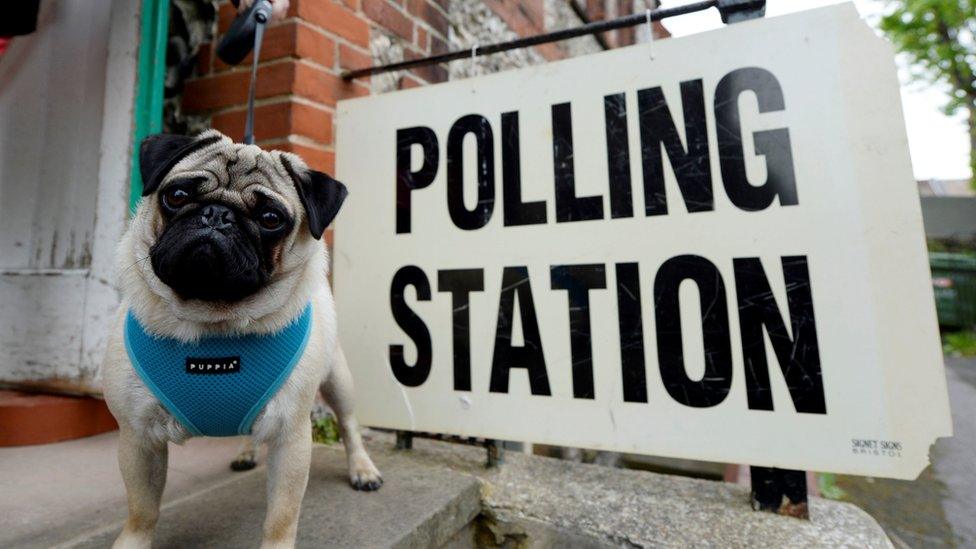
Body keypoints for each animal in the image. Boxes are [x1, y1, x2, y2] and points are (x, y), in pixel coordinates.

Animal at [103, 130, 382, 548]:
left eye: (271, 219)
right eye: (177, 196)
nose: (217, 215)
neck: (213, 326)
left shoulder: (290, 437)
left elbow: (281, 516)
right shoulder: (138, 437)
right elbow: (141, 509)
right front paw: (133, 542)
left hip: (338, 379)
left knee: (348, 425)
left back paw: (362, 469)